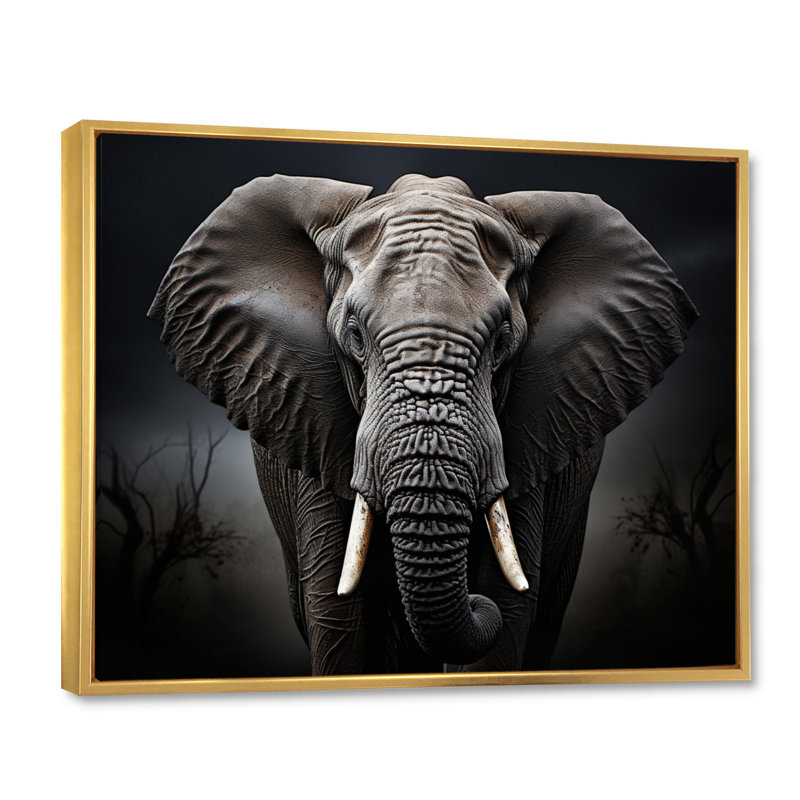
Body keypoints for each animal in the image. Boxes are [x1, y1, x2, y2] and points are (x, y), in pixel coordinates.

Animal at [148, 173, 698, 675]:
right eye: (354, 335)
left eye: (503, 338)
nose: (475, 607)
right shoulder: (310, 418)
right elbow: (337, 614)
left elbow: (510, 609)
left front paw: (490, 604)